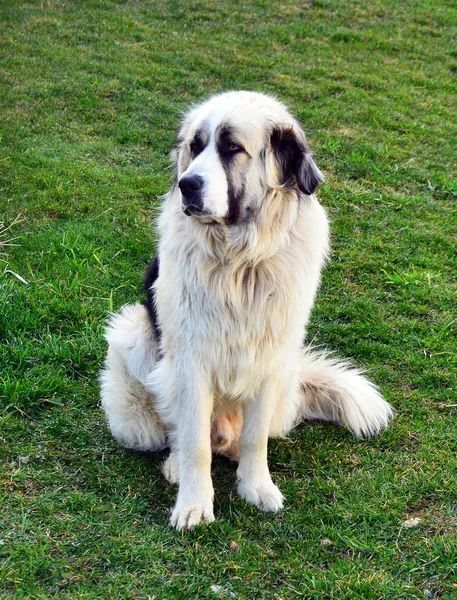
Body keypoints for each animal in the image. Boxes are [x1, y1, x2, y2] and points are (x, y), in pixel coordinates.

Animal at [100, 89, 392, 528]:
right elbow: (193, 441)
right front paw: (194, 504)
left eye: (232, 148)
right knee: (176, 429)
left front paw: (256, 486)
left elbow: (256, 437)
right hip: (134, 340)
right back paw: (175, 464)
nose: (186, 185)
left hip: (287, 375)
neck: (240, 262)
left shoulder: (270, 358)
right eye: (195, 147)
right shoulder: (190, 361)